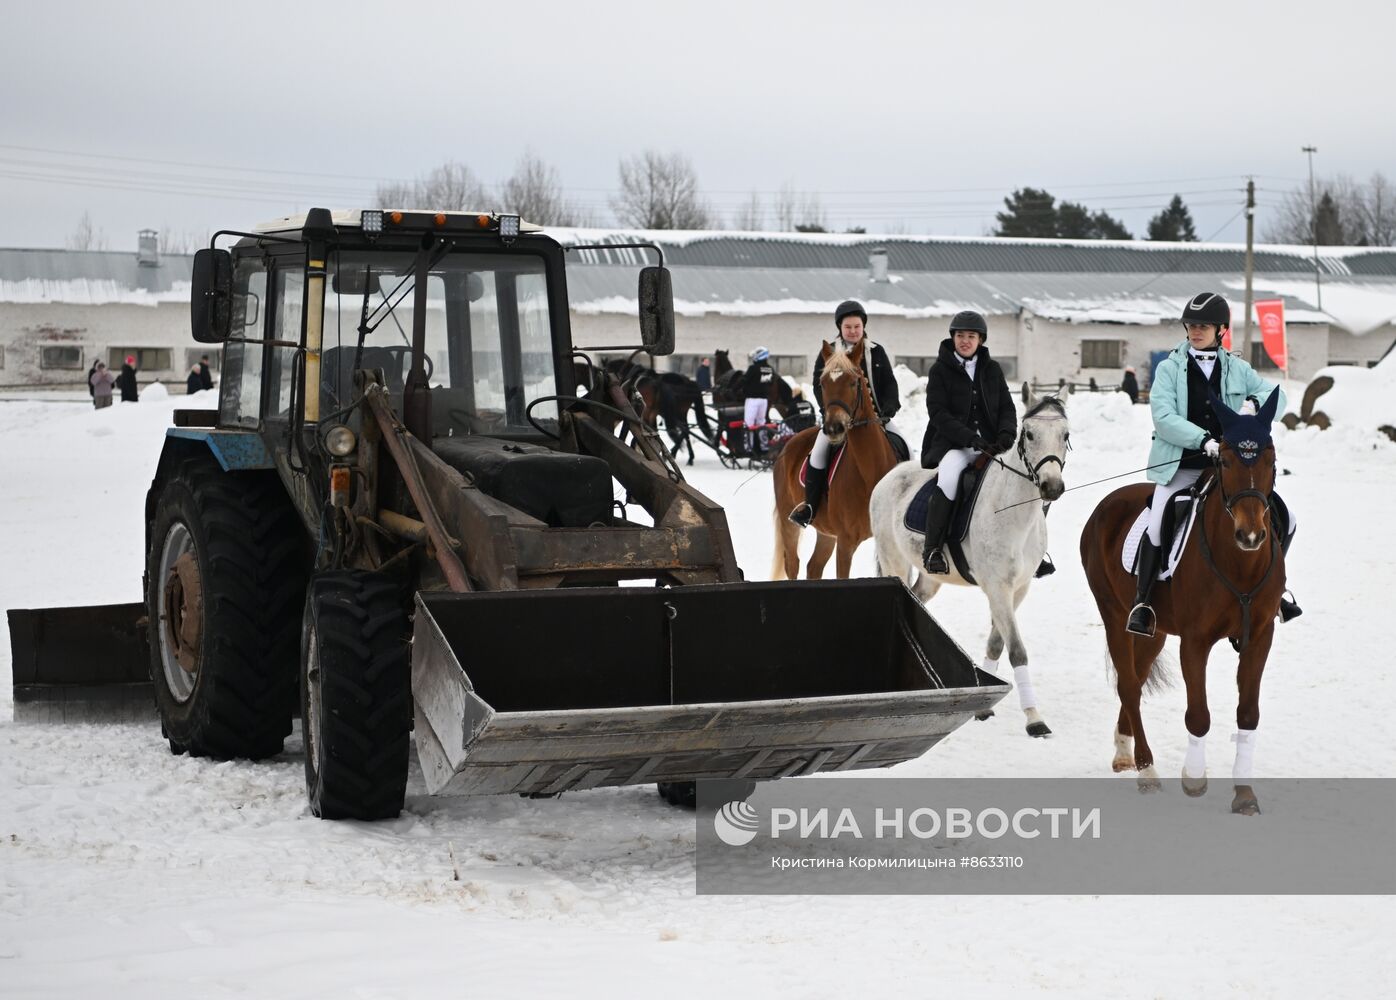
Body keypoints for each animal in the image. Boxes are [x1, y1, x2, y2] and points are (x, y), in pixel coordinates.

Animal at [770, 342, 899, 578]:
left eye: (853, 382)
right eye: (823, 383)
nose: (833, 428)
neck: (869, 471)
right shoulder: (846, 542)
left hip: (826, 532)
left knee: (814, 567)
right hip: (788, 520)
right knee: (792, 564)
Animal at [871, 393, 1066, 737]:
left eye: (1065, 435)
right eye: (1029, 434)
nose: (1051, 487)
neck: (1013, 512)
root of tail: (890, 476)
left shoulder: (1018, 588)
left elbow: (997, 642)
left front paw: (986, 705)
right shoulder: (997, 587)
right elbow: (1017, 649)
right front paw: (1034, 718)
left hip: (930, 575)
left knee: (918, 598)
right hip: (894, 562)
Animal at [1077, 385, 1284, 815]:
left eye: (1271, 459)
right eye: (1224, 459)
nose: (1250, 535)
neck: (1239, 563)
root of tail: (1107, 503)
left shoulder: (1259, 637)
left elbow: (1248, 714)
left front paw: (1244, 793)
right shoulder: (1195, 641)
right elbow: (1199, 715)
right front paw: (1194, 779)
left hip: (1154, 632)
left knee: (1136, 679)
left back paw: (1123, 752)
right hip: (1114, 614)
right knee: (1129, 686)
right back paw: (1146, 770)